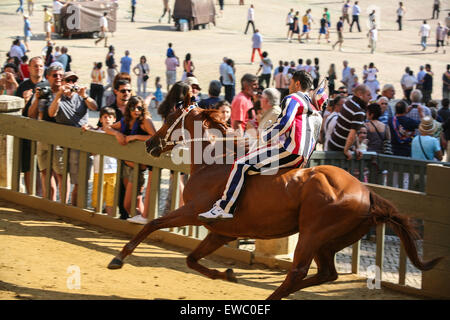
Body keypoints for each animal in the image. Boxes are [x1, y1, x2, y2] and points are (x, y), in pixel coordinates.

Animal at [108, 105, 440, 300]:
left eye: (168, 118)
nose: (151, 144)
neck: (214, 163)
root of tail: (367, 192)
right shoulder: (220, 232)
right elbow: (191, 259)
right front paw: (227, 274)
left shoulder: (193, 212)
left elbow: (152, 223)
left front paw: (119, 258)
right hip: (328, 242)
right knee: (326, 274)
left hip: (312, 234)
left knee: (298, 272)